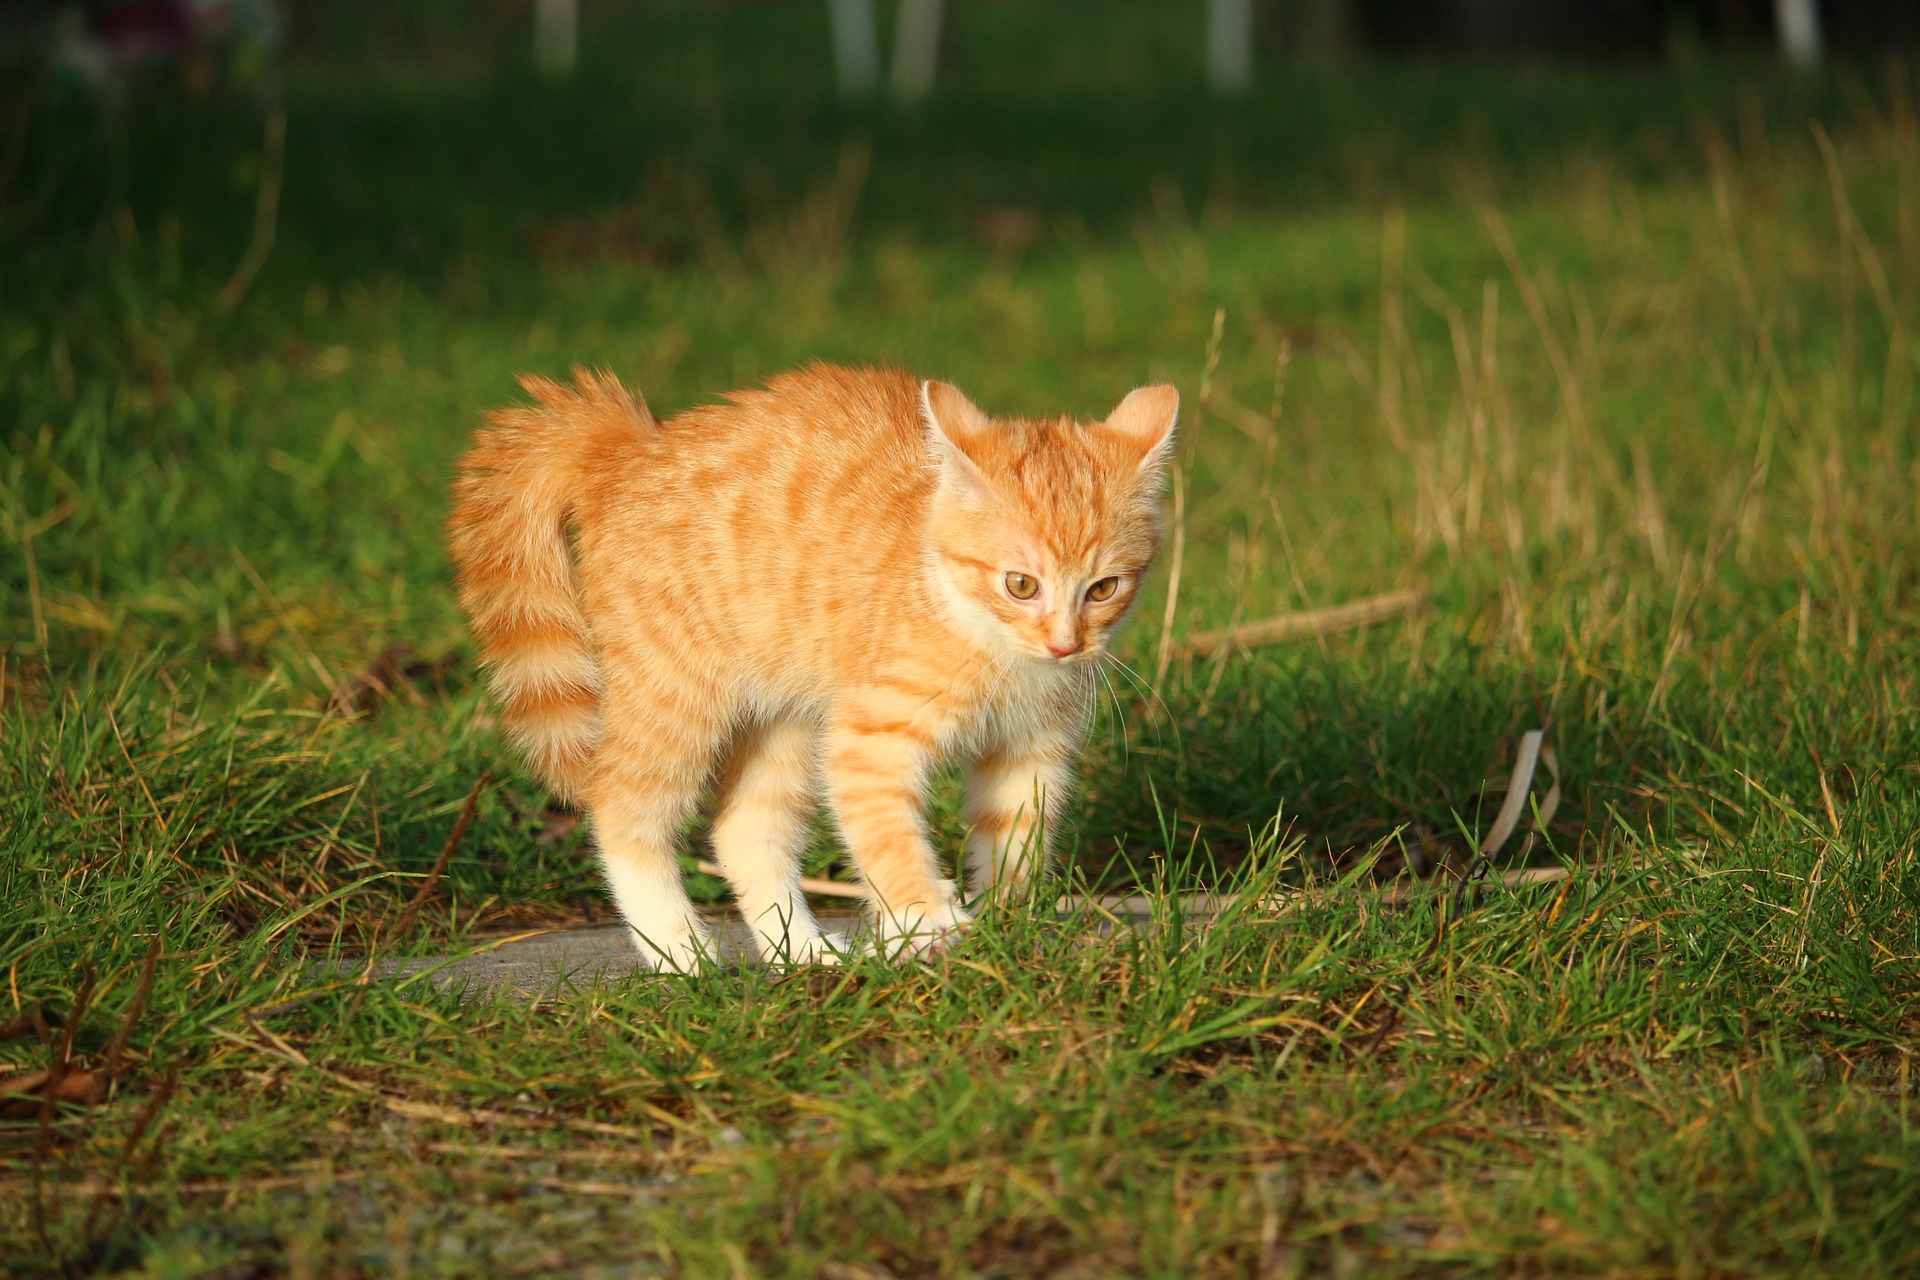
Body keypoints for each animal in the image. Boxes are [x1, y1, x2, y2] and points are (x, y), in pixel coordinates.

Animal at [447, 364, 1175, 967]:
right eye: (1020, 584)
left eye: (1104, 588)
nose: (1066, 645)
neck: (980, 632)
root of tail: (629, 448)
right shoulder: (869, 737)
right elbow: (886, 833)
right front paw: (926, 916)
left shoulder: (1030, 747)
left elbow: (1016, 839)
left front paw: (1008, 928)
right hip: (674, 694)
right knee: (621, 810)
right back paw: (678, 955)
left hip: (785, 718)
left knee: (745, 830)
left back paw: (801, 952)